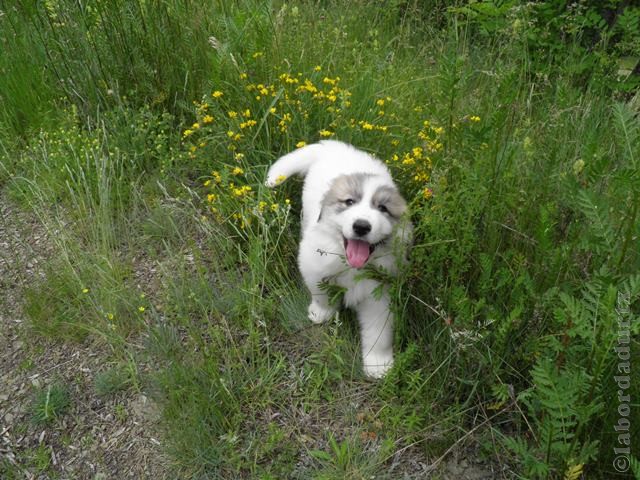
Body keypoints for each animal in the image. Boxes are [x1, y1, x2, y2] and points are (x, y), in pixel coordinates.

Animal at [266, 141, 412, 376]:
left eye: (382, 208)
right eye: (349, 202)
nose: (361, 226)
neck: (352, 266)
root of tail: (334, 146)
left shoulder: (378, 293)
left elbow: (379, 331)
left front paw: (378, 364)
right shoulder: (314, 265)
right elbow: (321, 294)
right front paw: (321, 313)